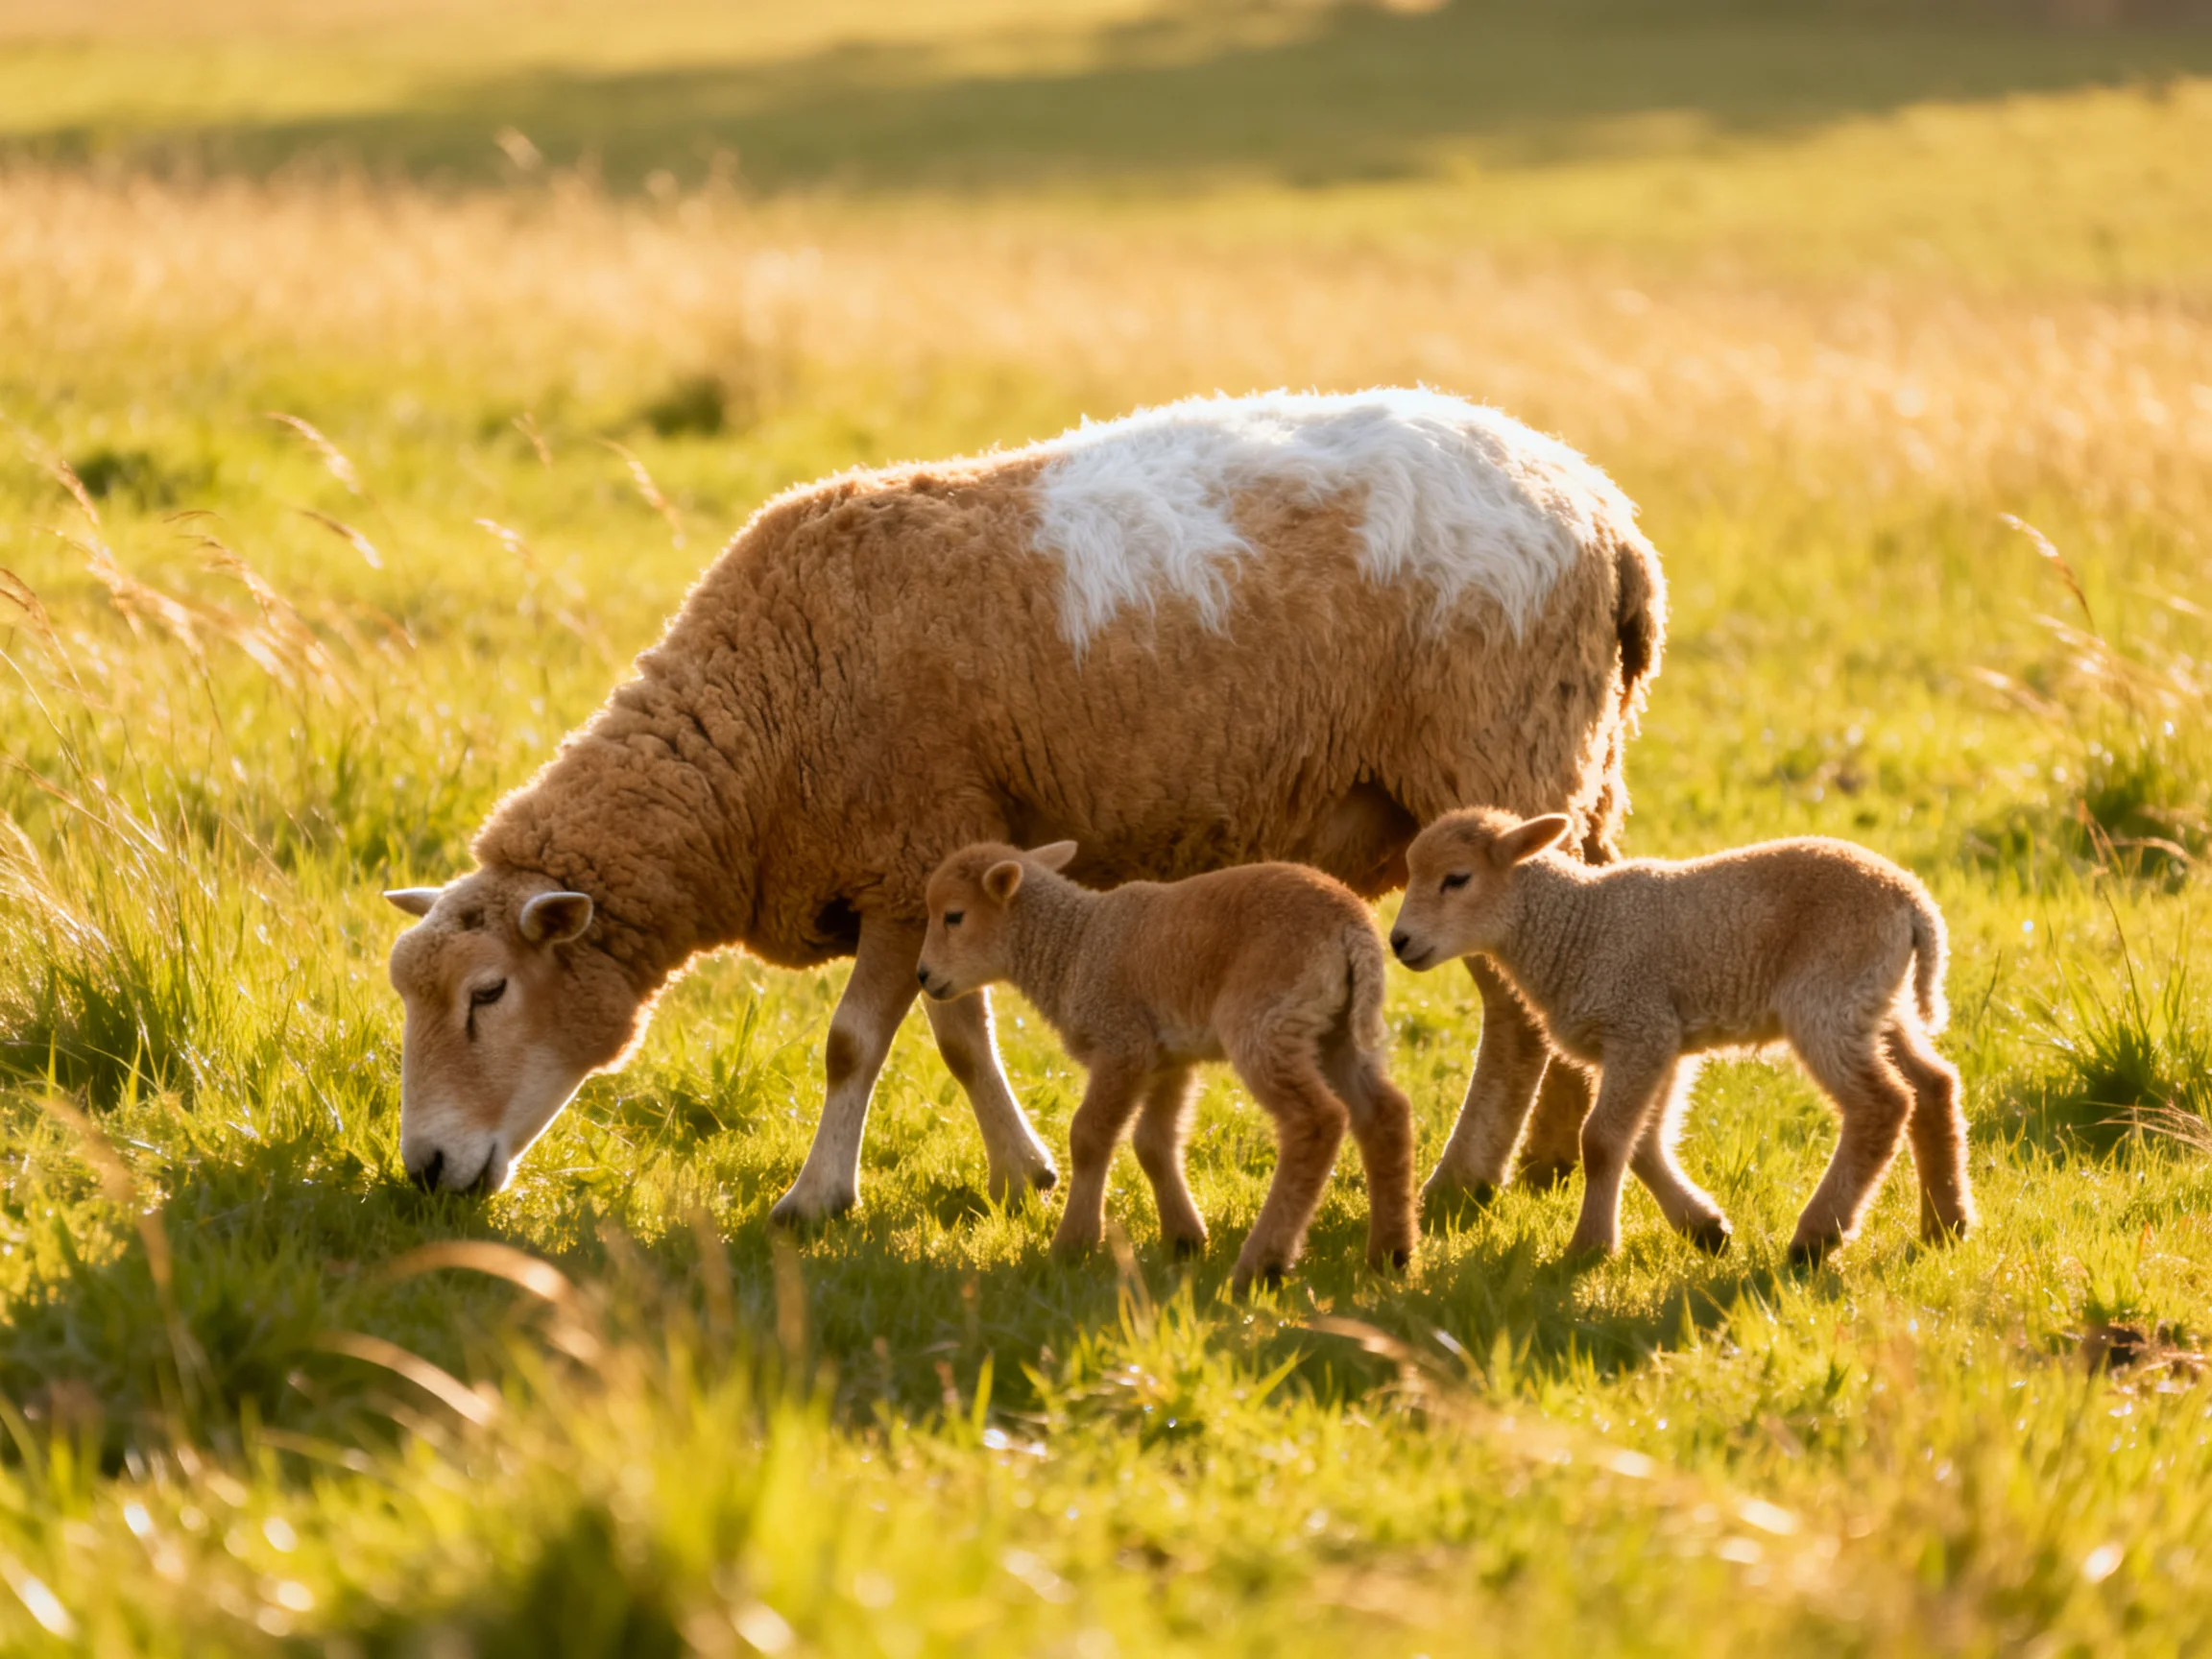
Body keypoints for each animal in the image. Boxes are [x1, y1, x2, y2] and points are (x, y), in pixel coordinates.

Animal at [382, 388, 1666, 1215]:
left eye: (488, 994)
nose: (426, 1173)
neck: (758, 724)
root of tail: (1607, 515)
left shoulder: (907, 842)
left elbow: (855, 1044)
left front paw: (816, 1196)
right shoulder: (948, 857)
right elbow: (958, 1032)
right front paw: (1021, 1170)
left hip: (1493, 762)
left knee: (1514, 1005)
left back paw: (1468, 1178)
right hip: (1570, 771)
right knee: (1571, 946)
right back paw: (1551, 1159)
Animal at [917, 841, 1418, 1291]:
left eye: (954, 916)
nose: (923, 975)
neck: (1074, 947)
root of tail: (1351, 926)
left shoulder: (1123, 1044)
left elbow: (1088, 1137)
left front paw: (1074, 1245)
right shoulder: (1168, 1059)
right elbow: (1153, 1143)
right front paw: (1185, 1239)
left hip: (1266, 1019)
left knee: (1317, 1121)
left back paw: (1262, 1264)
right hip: (1334, 1031)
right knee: (1384, 1113)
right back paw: (1390, 1252)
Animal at [1390, 809, 1974, 1264]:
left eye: (1457, 878)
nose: (1399, 941)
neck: (1573, 927)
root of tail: (1913, 904)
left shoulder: (1638, 1025)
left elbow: (1601, 1140)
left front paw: (1589, 1248)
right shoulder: (1661, 1041)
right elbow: (1643, 1141)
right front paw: (1705, 1229)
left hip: (1827, 998)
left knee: (1883, 1104)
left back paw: (1817, 1237)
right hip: (1876, 1001)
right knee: (1933, 1085)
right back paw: (1946, 1224)